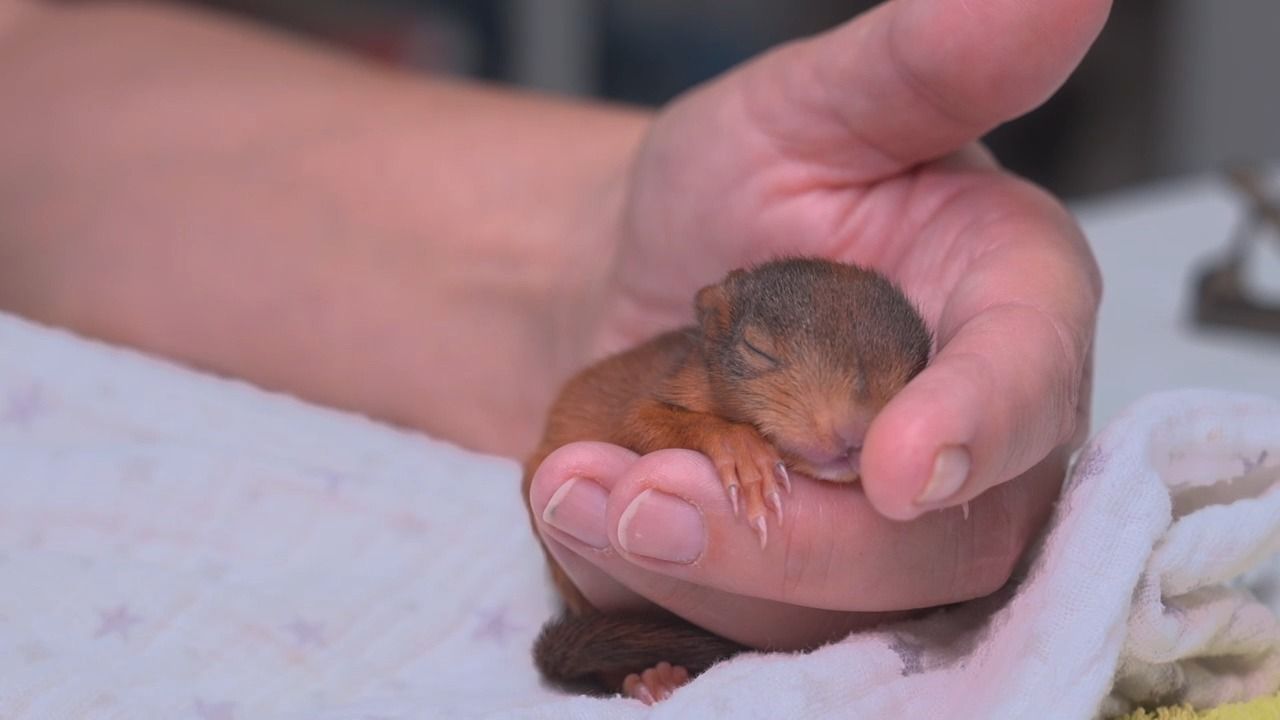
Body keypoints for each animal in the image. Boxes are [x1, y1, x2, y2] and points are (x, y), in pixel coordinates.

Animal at [521, 257, 932, 704]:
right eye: (758, 349)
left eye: (913, 375)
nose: (854, 434)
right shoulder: (649, 400)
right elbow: (638, 423)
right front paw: (742, 453)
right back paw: (647, 677)